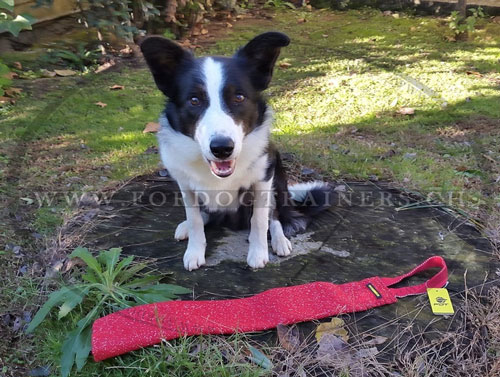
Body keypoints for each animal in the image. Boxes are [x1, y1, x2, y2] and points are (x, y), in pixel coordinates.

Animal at [141, 30, 330, 268]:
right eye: (194, 100)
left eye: (239, 97)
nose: (222, 148)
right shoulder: (186, 185)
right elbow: (194, 219)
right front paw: (194, 250)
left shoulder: (263, 179)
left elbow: (260, 220)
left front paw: (258, 253)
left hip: (277, 178)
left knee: (276, 216)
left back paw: (279, 240)